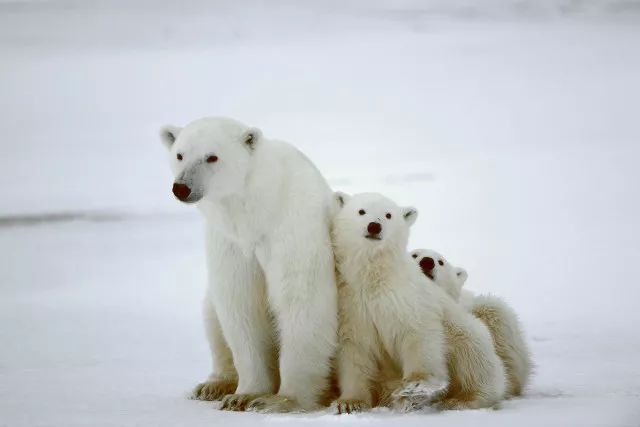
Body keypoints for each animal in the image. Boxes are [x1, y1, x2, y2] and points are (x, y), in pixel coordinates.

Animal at [160, 118, 338, 414]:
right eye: (180, 154)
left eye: (212, 156)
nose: (182, 187)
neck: (257, 211)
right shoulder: (230, 242)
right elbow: (241, 305)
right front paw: (243, 395)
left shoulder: (293, 227)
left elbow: (301, 300)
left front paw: (280, 400)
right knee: (212, 314)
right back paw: (213, 385)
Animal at [330, 192, 504, 412]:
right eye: (361, 211)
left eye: (388, 215)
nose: (374, 226)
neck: (374, 277)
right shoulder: (352, 304)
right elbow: (354, 349)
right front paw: (349, 403)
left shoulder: (408, 298)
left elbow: (418, 334)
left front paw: (415, 386)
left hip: (466, 332)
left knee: (473, 357)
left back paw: (461, 399)